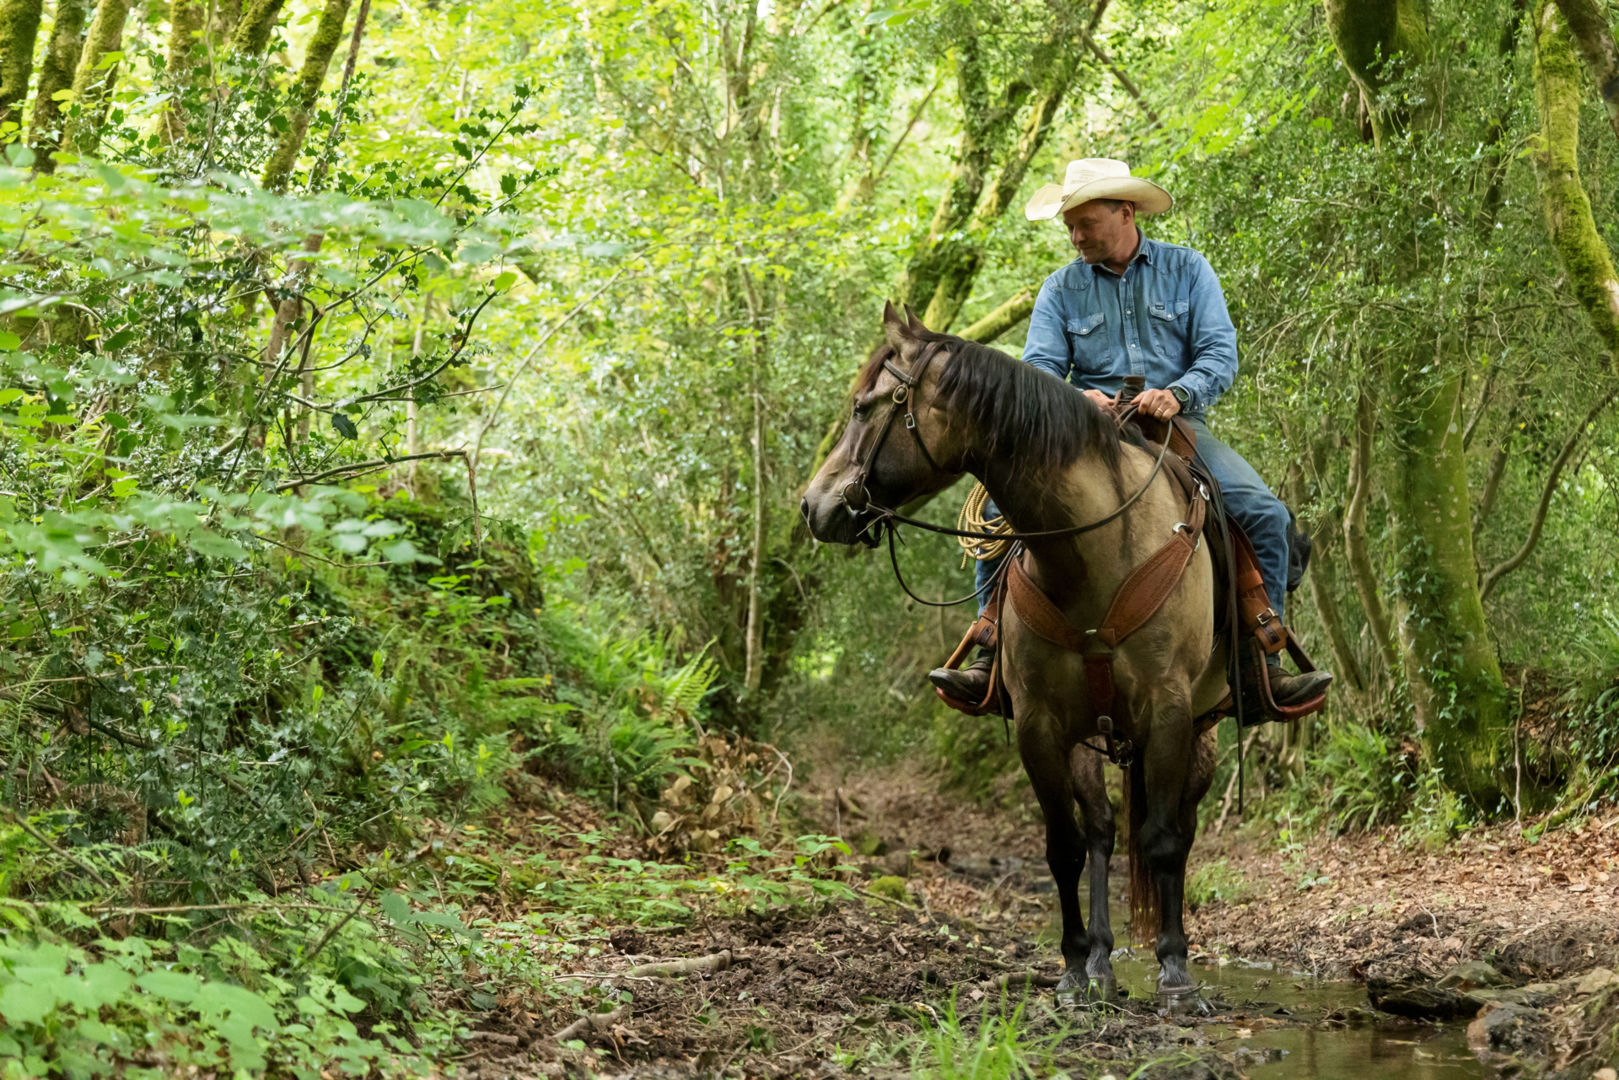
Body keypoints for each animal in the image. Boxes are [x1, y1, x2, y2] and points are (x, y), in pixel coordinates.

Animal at [803, 304, 1217, 1003]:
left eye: (862, 407)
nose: (813, 506)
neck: (1092, 553)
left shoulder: (1168, 711)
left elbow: (1163, 839)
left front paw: (1176, 972)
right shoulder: (1039, 724)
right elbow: (1064, 847)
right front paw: (1075, 969)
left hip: (1201, 731)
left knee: (1177, 829)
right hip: (1088, 734)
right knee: (1101, 829)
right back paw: (1103, 962)